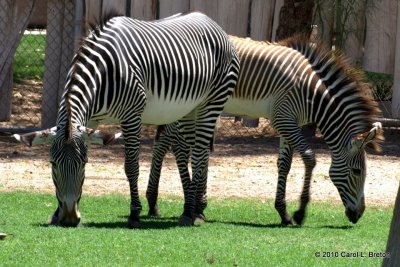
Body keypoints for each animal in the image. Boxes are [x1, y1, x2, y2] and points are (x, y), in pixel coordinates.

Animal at [145, 34, 382, 225]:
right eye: (357, 171)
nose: (358, 215)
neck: (311, 93)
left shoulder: (289, 122)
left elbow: (285, 164)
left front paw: (283, 213)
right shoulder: (283, 119)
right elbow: (309, 157)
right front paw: (300, 212)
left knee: (164, 142)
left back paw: (155, 203)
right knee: (172, 145)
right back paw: (168, 203)